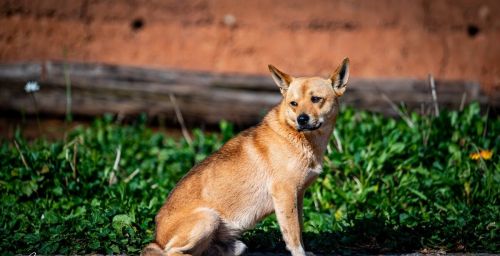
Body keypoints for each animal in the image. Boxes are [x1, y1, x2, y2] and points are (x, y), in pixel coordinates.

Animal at [143, 58, 350, 256]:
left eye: (316, 99)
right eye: (294, 104)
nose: (302, 119)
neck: (299, 138)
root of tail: (157, 239)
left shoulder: (297, 196)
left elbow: (299, 229)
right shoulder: (285, 194)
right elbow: (293, 235)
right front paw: (300, 253)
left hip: (229, 239)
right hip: (208, 218)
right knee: (171, 252)